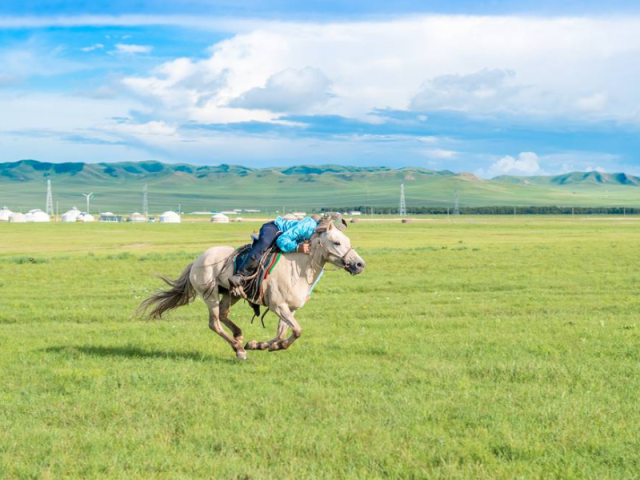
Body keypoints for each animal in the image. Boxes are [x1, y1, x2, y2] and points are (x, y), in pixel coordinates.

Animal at [136, 218, 364, 360]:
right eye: (336, 242)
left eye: (348, 240)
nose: (359, 264)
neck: (297, 268)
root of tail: (197, 260)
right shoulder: (278, 306)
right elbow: (296, 331)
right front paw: (259, 346)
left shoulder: (288, 309)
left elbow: (283, 333)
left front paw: (260, 345)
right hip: (209, 295)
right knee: (214, 323)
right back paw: (239, 350)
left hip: (230, 294)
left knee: (224, 315)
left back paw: (239, 337)